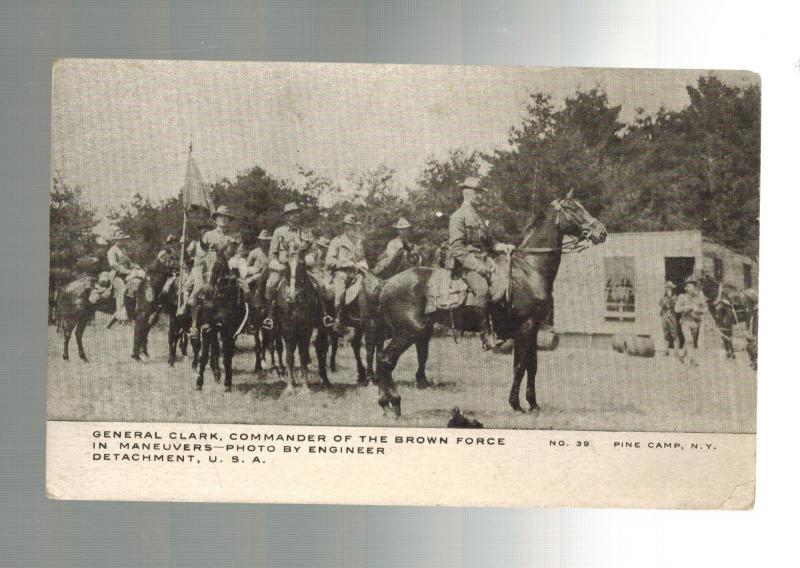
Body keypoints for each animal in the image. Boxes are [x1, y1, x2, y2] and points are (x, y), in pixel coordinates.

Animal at [376, 192, 608, 418]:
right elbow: (520, 366)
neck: (529, 269)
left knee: (381, 360)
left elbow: (532, 366)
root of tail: (387, 283)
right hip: (409, 332)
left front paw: (533, 404)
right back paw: (394, 403)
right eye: (573, 208)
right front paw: (517, 405)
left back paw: (385, 404)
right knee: (386, 360)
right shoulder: (526, 327)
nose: (602, 232)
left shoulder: (533, 329)